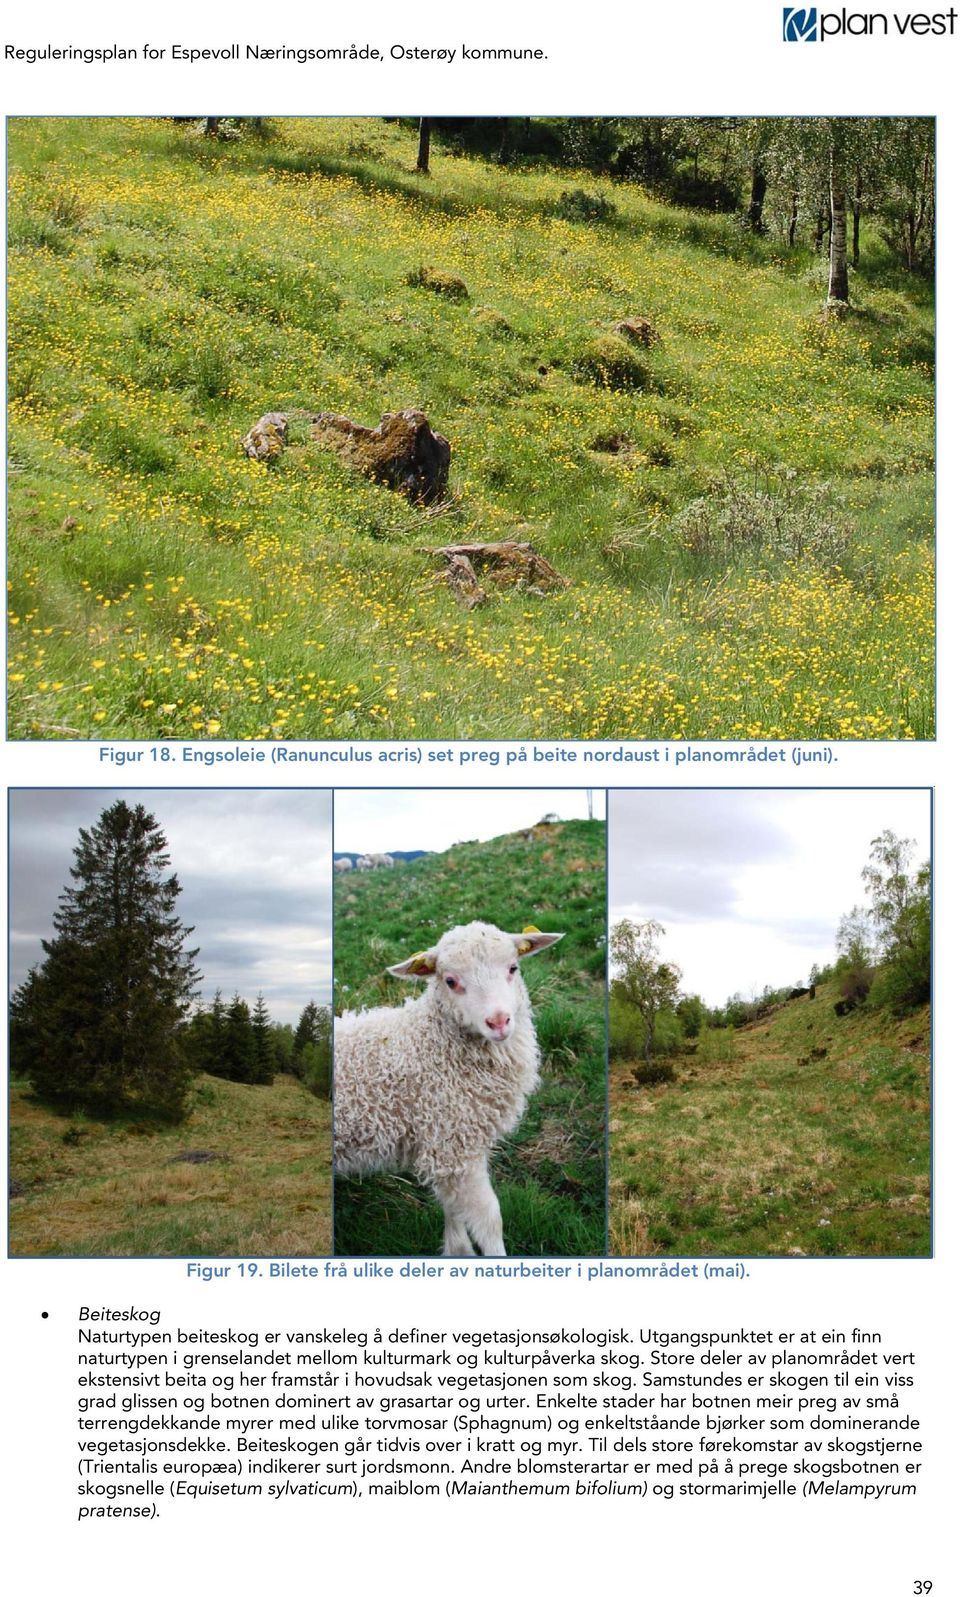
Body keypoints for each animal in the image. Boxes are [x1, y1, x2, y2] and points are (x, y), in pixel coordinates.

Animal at [337, 926, 562, 1258]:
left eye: (513, 968)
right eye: (451, 981)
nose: (498, 1021)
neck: (430, 1044)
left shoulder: (452, 1145)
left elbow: (453, 1206)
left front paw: (458, 1249)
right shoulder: (452, 1136)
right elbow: (490, 1218)